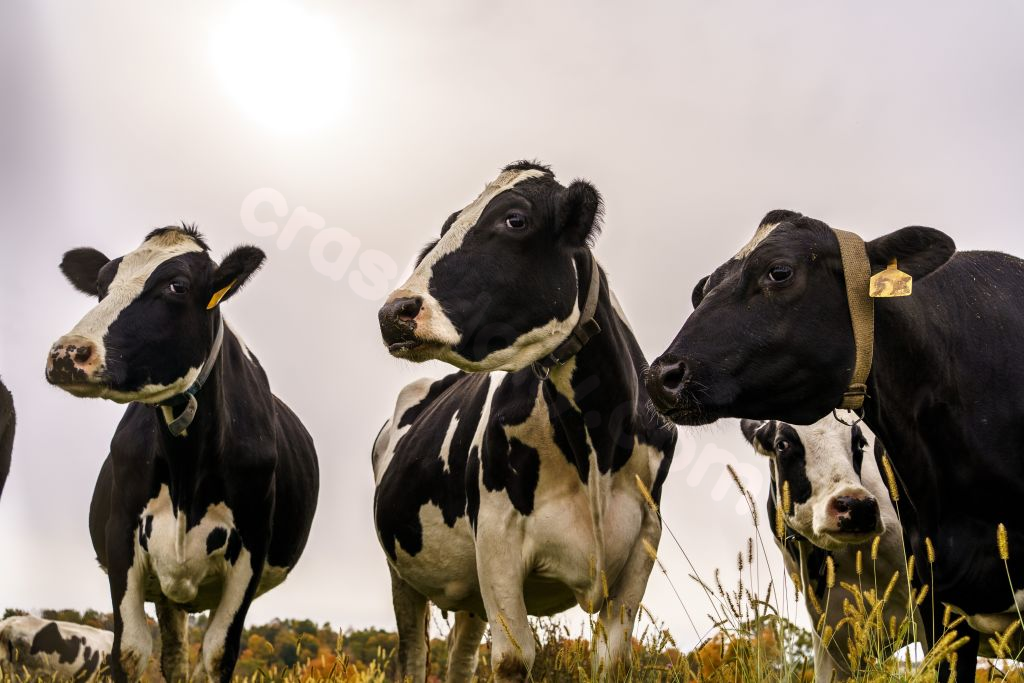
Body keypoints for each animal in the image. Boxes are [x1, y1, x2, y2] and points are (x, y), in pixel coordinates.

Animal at [45, 226, 320, 683]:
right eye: (100, 287)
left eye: (177, 286)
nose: (68, 353)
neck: (186, 466)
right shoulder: (122, 536)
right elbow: (130, 650)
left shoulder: (251, 549)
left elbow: (218, 653)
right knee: (173, 655)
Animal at [373, 161, 677, 682]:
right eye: (448, 225)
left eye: (515, 219)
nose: (394, 312)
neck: (594, 445)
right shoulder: (497, 538)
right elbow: (515, 659)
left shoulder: (644, 541)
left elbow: (610, 658)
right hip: (403, 573)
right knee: (413, 657)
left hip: (469, 594)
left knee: (460, 659)